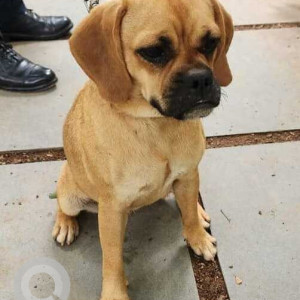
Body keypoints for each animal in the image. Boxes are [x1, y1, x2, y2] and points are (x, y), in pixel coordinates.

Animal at [52, 1, 233, 298]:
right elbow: (112, 259)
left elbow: (189, 217)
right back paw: (65, 224)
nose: (201, 79)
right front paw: (115, 292)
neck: (154, 123)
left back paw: (197, 210)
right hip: (70, 193)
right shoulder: (112, 210)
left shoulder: (188, 175)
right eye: (153, 52)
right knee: (62, 205)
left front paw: (196, 235)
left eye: (211, 42)